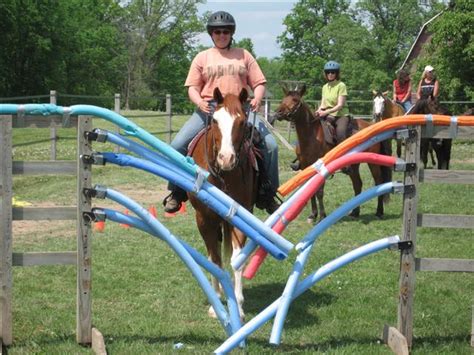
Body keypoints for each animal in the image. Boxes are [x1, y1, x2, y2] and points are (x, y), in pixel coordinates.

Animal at [187, 87, 258, 320]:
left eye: (242, 122)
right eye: (216, 120)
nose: (226, 158)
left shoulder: (240, 216)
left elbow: (237, 259)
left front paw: (239, 305)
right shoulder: (204, 219)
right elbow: (215, 259)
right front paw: (216, 302)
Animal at [272, 84, 390, 222]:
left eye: (295, 100)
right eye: (284, 98)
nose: (278, 113)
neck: (311, 135)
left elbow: (319, 192)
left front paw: (322, 216)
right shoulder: (306, 167)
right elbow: (310, 192)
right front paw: (313, 215)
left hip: (373, 163)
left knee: (379, 182)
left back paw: (379, 211)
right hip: (354, 165)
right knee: (357, 184)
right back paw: (355, 212)